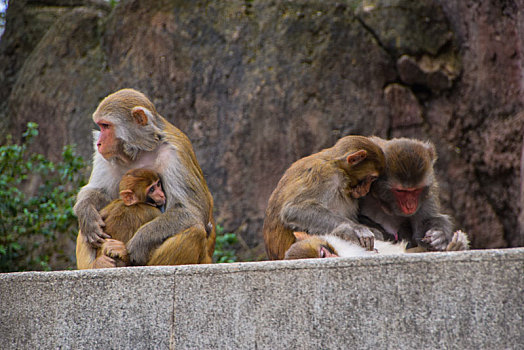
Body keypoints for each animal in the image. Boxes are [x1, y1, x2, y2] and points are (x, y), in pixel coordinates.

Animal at [72, 87, 214, 268]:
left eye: (106, 126)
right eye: (101, 126)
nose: (99, 143)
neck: (140, 149)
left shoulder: (175, 153)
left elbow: (191, 211)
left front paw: (134, 246)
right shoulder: (106, 157)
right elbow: (99, 191)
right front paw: (87, 214)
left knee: (195, 230)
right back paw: (98, 263)